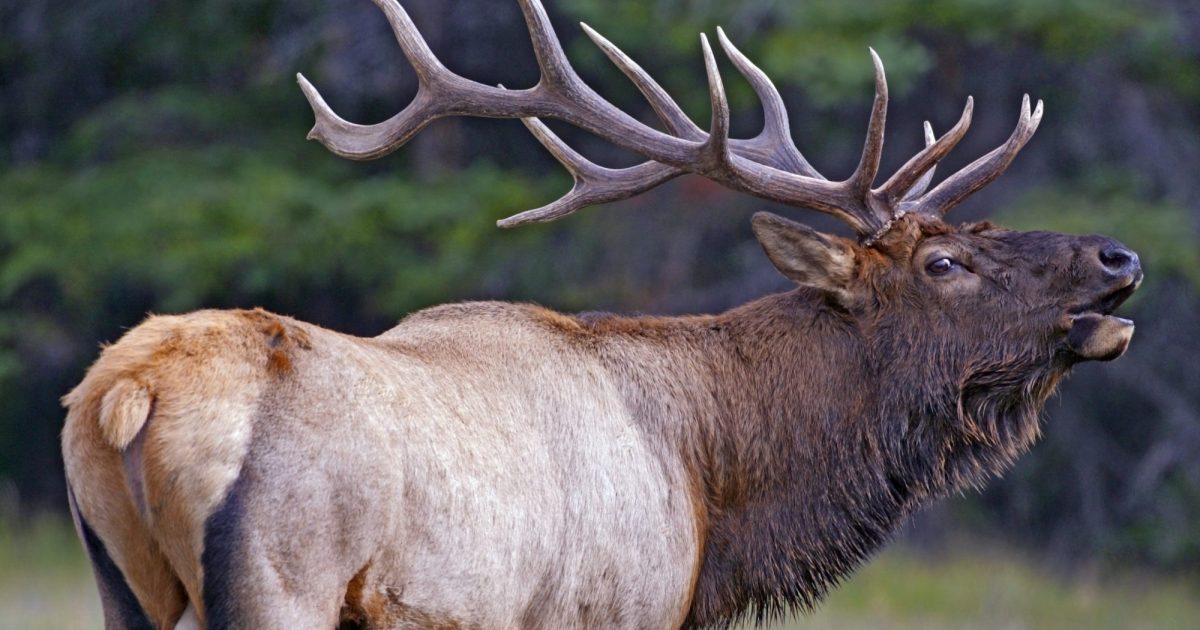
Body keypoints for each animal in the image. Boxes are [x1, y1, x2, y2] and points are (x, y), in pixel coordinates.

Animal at [61, 0, 1144, 628]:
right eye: (944, 261)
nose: (1118, 255)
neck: (712, 490)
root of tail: (125, 398)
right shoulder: (614, 609)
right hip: (284, 580)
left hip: (126, 589)